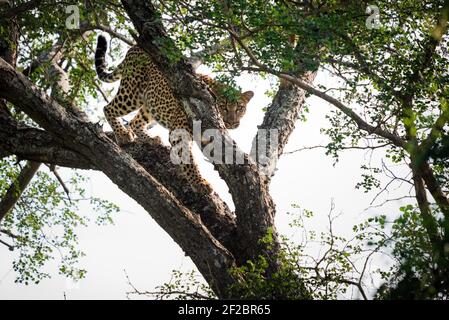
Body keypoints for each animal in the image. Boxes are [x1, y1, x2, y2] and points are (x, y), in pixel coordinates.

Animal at [94, 36, 252, 194]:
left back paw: (151, 139)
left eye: (240, 108)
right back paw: (122, 135)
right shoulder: (179, 132)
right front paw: (199, 183)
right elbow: (188, 159)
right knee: (108, 108)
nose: (232, 122)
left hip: (150, 103)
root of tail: (135, 47)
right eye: (223, 106)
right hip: (131, 92)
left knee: (135, 122)